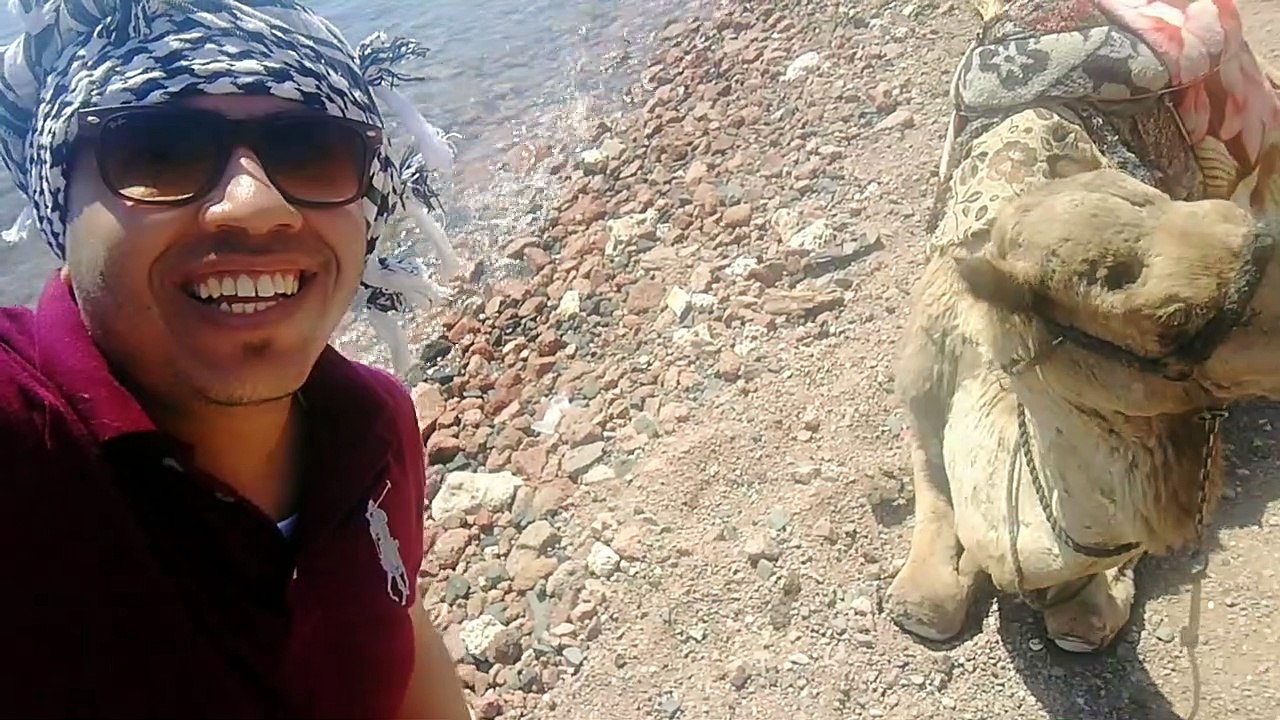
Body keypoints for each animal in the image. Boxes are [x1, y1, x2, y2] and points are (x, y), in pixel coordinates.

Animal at [884, 0, 1280, 653]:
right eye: (1173, 322)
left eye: (1237, 228)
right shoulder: (920, 383)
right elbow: (925, 605)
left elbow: (1084, 621)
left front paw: (1089, 599)